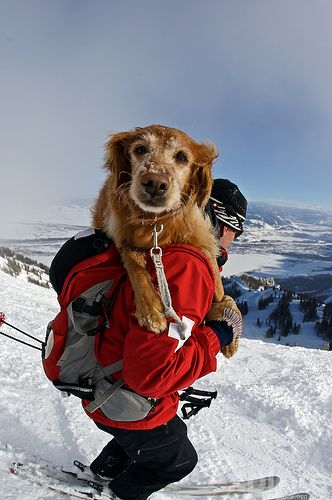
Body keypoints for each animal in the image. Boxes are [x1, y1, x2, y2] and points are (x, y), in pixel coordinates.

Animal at [92, 123, 226, 340]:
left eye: (181, 156)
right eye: (140, 149)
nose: (154, 182)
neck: (155, 221)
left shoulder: (201, 236)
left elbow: (217, 281)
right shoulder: (121, 236)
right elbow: (133, 263)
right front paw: (151, 312)